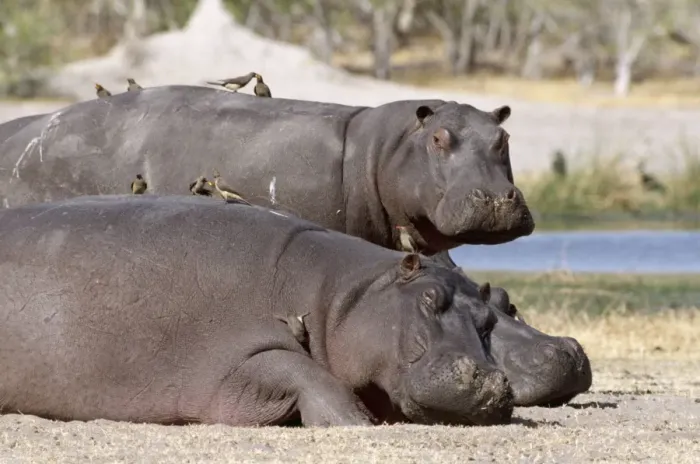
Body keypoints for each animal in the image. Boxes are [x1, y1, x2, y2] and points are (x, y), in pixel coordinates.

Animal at [0, 195, 513, 427]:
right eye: (429, 298)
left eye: (491, 319)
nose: (490, 380)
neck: (339, 296)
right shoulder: (239, 356)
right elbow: (312, 376)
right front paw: (357, 424)